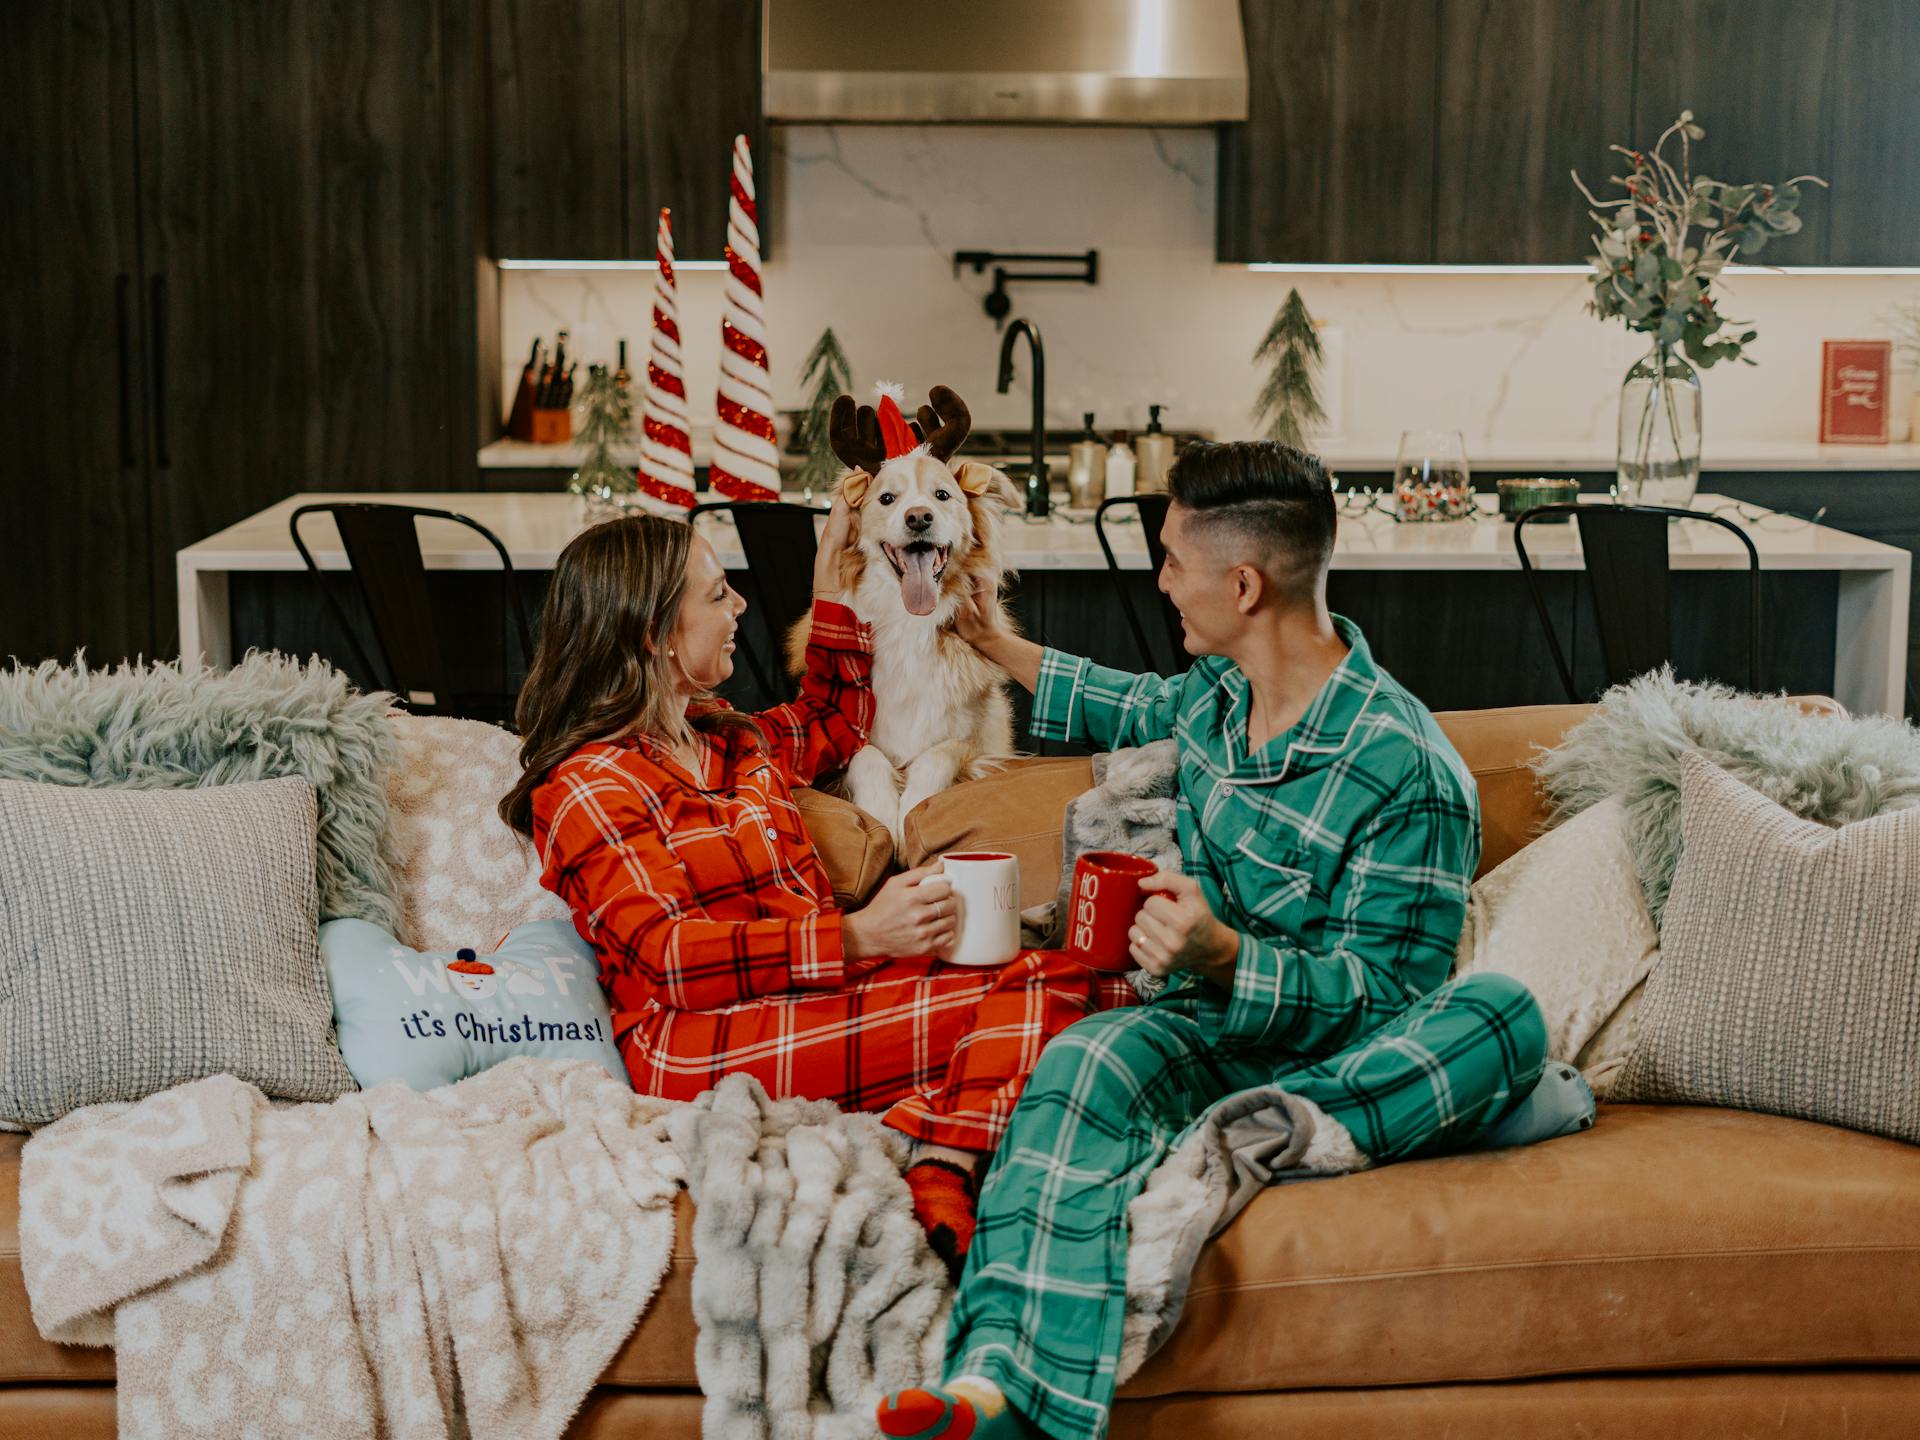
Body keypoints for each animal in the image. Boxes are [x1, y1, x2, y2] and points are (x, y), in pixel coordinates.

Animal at [783, 389, 1029, 852]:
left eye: (942, 495)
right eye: (886, 499)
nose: (918, 517)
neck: (908, 624)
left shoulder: (978, 744)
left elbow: (938, 754)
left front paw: (910, 813)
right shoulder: (849, 738)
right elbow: (867, 757)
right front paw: (882, 814)